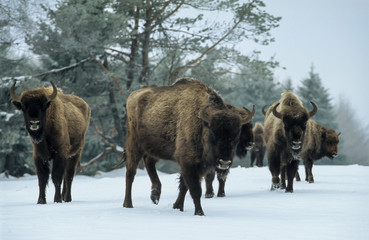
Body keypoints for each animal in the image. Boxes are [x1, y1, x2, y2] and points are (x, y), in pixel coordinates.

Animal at [122, 79, 252, 216]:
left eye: (236, 135)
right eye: (213, 132)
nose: (224, 162)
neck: (202, 124)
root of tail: (133, 95)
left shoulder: (196, 165)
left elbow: (184, 186)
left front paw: (177, 207)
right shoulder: (188, 162)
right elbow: (195, 189)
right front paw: (199, 213)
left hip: (154, 148)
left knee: (148, 162)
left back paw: (155, 195)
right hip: (134, 146)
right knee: (130, 173)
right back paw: (128, 204)